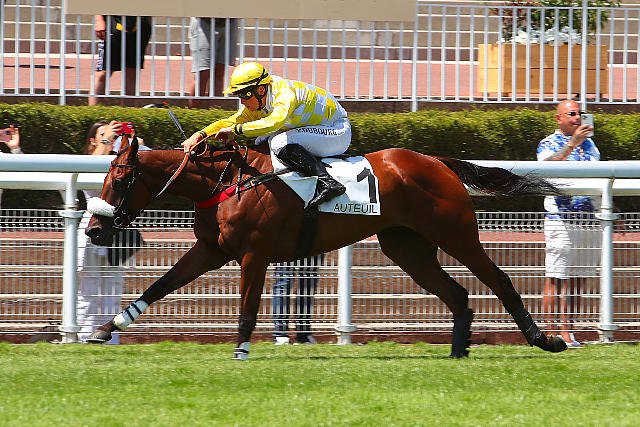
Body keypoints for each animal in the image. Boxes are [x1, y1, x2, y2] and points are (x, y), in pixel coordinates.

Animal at [85, 136, 567, 359]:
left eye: (120, 180)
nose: (93, 230)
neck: (224, 185)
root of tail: (437, 161)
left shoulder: (254, 255)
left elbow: (248, 307)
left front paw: (241, 350)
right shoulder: (211, 250)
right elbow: (159, 286)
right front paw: (105, 329)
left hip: (456, 233)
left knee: (498, 279)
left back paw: (545, 339)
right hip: (406, 248)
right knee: (458, 293)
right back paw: (457, 350)